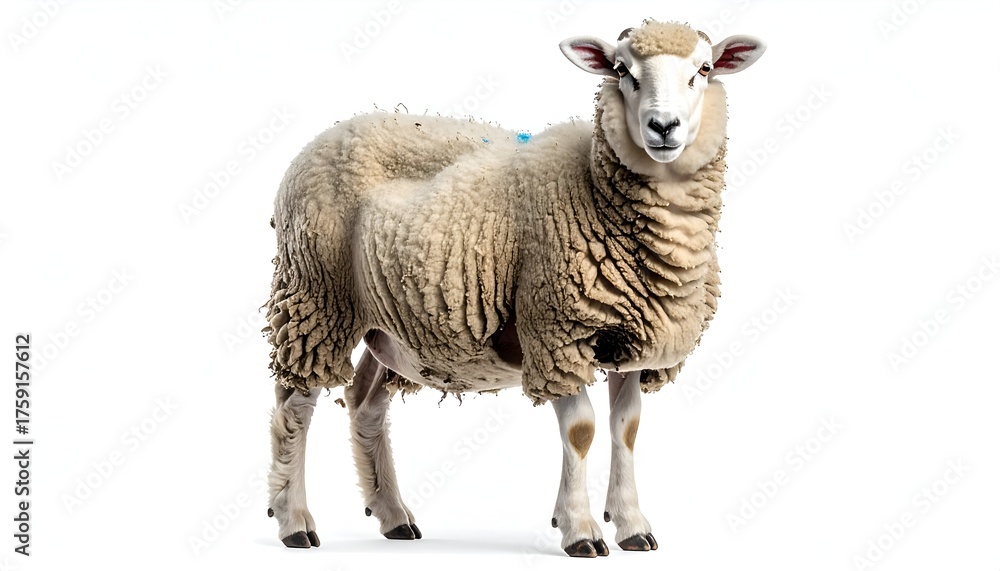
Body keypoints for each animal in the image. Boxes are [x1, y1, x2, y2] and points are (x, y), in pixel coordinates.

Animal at [265, 19, 766, 557]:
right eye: (621, 70)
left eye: (704, 69)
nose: (663, 126)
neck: (593, 187)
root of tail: (323, 137)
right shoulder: (554, 330)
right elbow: (582, 430)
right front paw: (580, 530)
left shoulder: (632, 340)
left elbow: (626, 429)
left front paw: (632, 525)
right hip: (315, 298)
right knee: (294, 405)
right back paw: (294, 521)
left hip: (391, 327)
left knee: (365, 402)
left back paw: (393, 515)